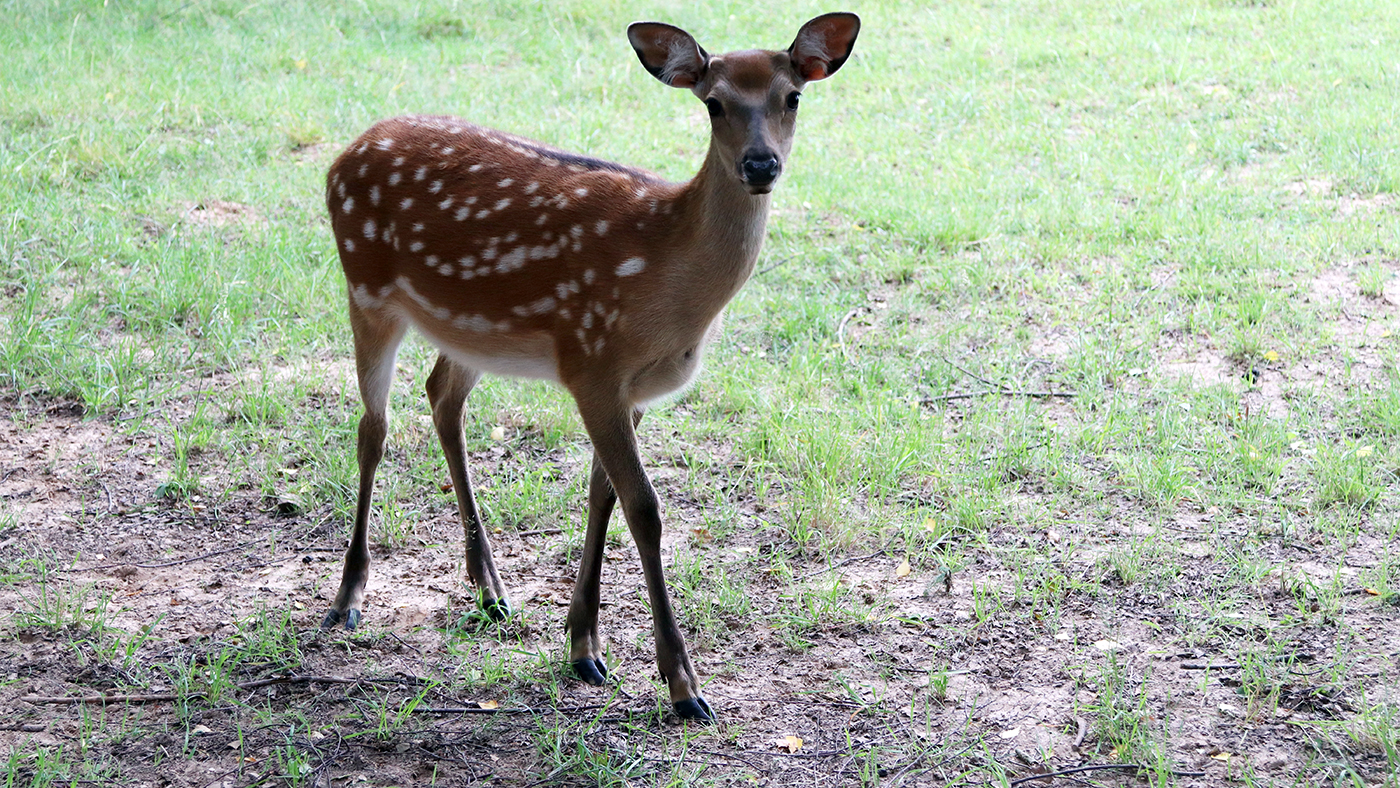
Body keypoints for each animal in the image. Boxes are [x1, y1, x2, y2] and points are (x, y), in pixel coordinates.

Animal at [320, 12, 856, 722]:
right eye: (712, 103)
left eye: (793, 96)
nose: (760, 164)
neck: (669, 279)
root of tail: (342, 154)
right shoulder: (592, 363)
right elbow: (645, 509)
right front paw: (683, 684)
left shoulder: (630, 387)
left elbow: (603, 495)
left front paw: (583, 646)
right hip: (366, 287)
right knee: (372, 429)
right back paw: (348, 598)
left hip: (466, 331)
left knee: (441, 395)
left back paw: (491, 589)